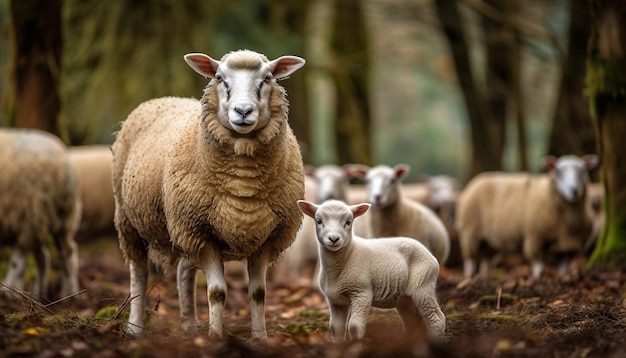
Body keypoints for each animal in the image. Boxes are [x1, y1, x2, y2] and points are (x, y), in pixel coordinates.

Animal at [0, 127, 80, 298]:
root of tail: (64, 166)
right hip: (60, 218)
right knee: (62, 253)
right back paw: (62, 294)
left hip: (28, 212)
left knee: (19, 260)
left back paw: (9, 292)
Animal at [112, 50, 308, 338]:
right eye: (219, 77)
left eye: (267, 78)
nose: (243, 111)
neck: (242, 182)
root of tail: (164, 98)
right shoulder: (203, 233)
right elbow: (217, 292)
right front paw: (215, 336)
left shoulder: (266, 236)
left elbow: (258, 293)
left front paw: (260, 337)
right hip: (130, 220)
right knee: (138, 272)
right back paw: (135, 327)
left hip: (182, 227)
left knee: (184, 273)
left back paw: (189, 324)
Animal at [296, 199, 444, 342]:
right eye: (319, 221)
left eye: (348, 222)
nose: (333, 239)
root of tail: (429, 254)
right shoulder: (335, 300)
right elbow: (336, 328)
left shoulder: (362, 293)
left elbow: (354, 326)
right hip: (404, 297)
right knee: (412, 320)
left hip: (423, 284)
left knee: (436, 318)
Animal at [456, 154, 596, 280]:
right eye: (558, 171)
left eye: (583, 170)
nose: (574, 191)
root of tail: (478, 178)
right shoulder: (534, 236)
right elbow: (539, 266)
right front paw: (537, 280)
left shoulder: (567, 247)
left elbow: (563, 269)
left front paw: (561, 279)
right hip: (470, 231)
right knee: (470, 260)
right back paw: (469, 278)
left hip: (487, 241)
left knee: (485, 259)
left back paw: (483, 277)